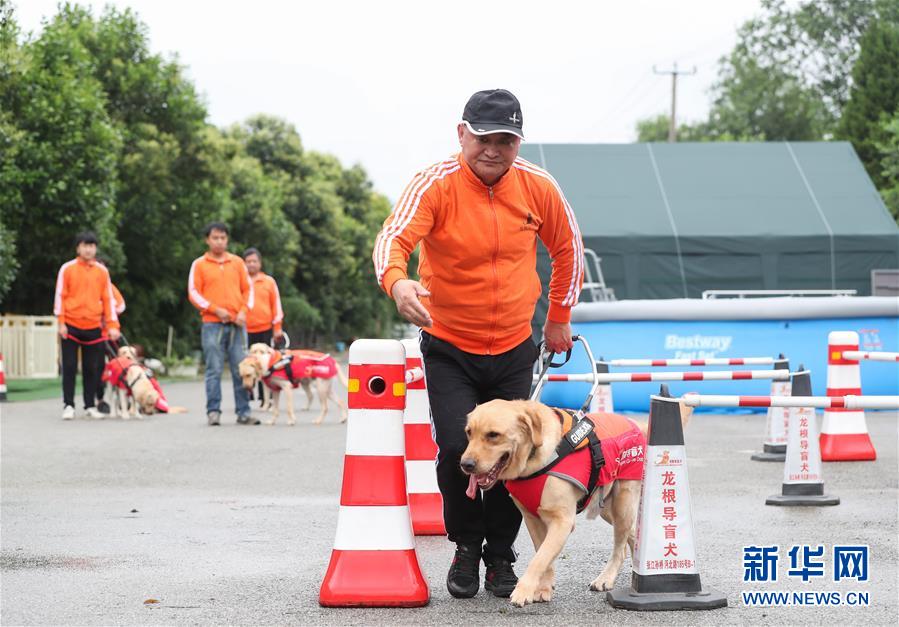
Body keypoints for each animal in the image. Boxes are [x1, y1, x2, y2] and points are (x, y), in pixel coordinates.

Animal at [460, 402, 692, 608]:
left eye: (493, 435)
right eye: (469, 433)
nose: (465, 464)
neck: (535, 460)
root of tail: (635, 423)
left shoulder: (562, 521)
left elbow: (539, 558)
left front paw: (523, 591)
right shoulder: (532, 518)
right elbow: (543, 554)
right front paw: (543, 588)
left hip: (623, 503)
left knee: (620, 547)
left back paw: (606, 578)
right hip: (608, 509)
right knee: (632, 534)